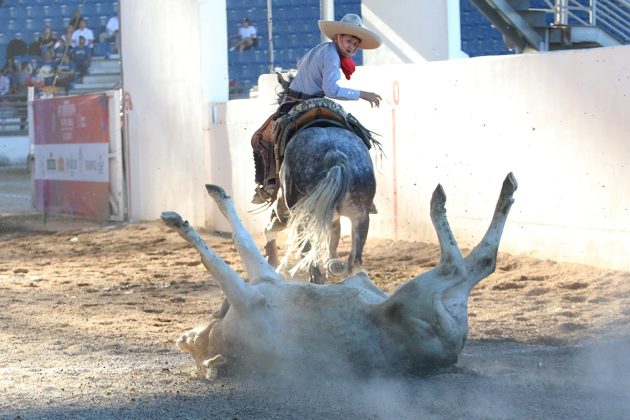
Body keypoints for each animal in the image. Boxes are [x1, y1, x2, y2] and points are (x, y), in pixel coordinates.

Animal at [165, 172, 520, 376]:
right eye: (194, 350)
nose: (182, 338)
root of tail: (453, 350)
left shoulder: (262, 280)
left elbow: (242, 242)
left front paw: (215, 196)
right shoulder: (246, 297)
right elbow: (214, 260)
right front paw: (178, 222)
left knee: (476, 263)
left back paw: (499, 191)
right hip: (413, 297)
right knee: (469, 262)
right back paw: (447, 201)